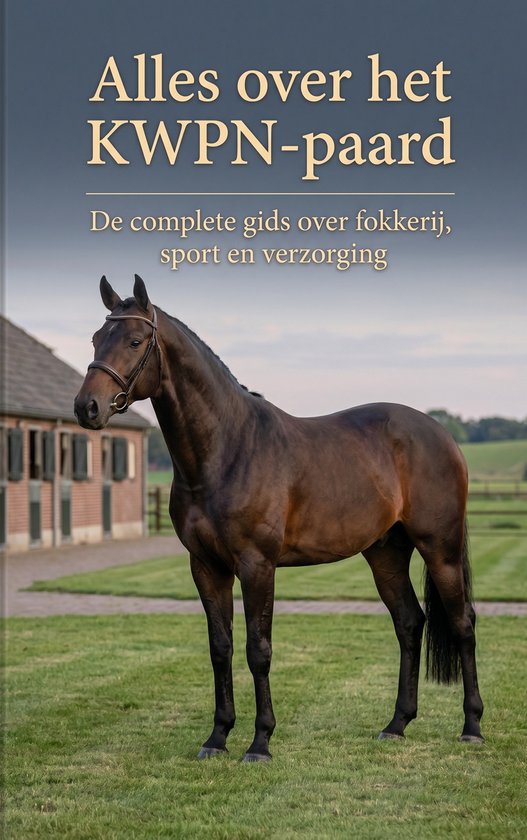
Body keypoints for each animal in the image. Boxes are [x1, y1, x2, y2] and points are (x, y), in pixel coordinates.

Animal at [74, 275, 484, 761]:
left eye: (135, 341)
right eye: (96, 338)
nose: (87, 407)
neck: (228, 449)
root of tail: (442, 435)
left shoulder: (257, 565)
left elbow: (259, 650)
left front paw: (260, 742)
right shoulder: (206, 566)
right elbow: (221, 648)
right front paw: (217, 737)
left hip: (440, 549)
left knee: (463, 623)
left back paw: (472, 726)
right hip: (386, 552)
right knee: (409, 622)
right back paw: (397, 724)